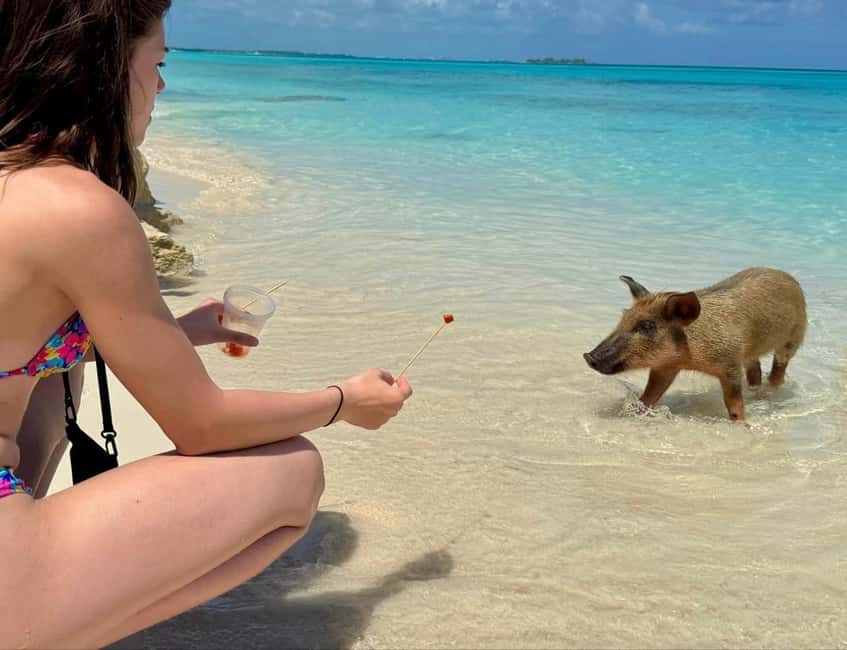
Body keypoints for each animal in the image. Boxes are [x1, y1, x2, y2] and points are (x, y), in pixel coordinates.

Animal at [583, 267, 806, 421]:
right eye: (624, 317)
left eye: (647, 326)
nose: (588, 356)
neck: (690, 358)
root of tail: (788, 277)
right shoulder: (665, 367)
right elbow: (649, 395)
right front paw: (636, 412)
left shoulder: (730, 363)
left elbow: (734, 404)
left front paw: (743, 424)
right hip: (752, 353)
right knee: (755, 369)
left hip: (793, 339)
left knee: (778, 370)